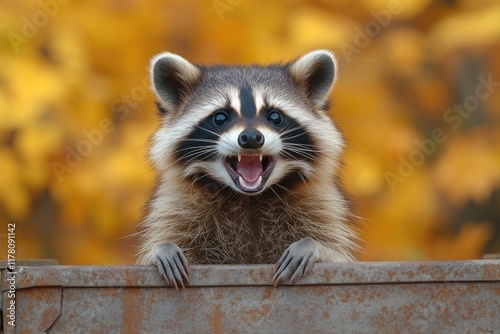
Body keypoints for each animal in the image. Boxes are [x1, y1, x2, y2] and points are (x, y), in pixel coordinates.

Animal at [135, 50, 358, 290]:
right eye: (220, 117)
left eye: (275, 116)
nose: (251, 137)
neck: (248, 198)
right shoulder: (177, 205)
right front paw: (163, 249)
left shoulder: (319, 203)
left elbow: (332, 248)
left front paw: (311, 245)